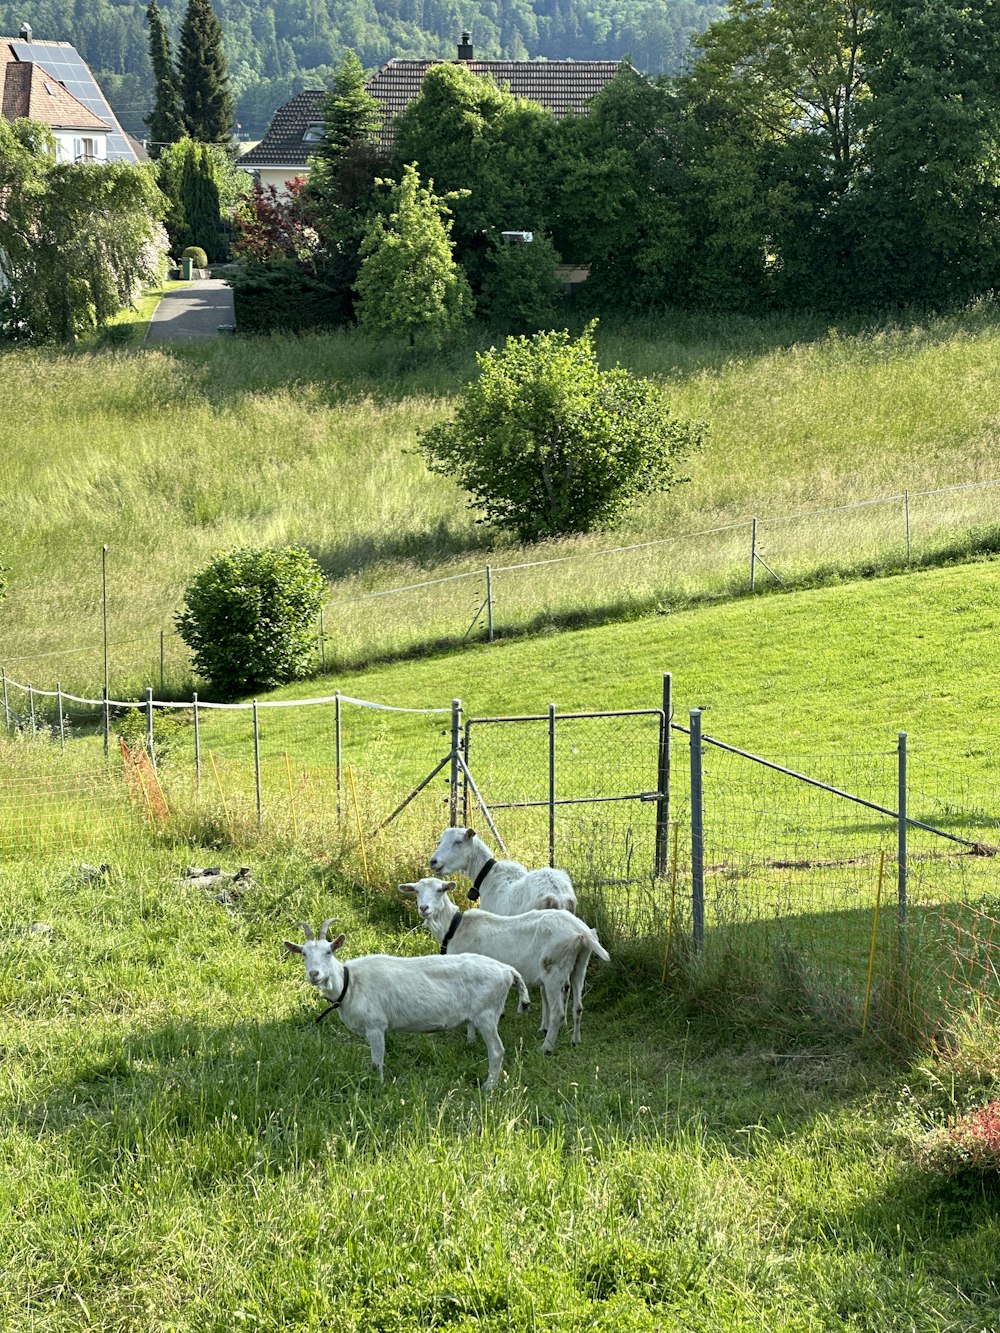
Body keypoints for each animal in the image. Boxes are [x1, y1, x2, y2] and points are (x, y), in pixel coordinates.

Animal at [284, 922, 533, 1087]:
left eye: (328, 951)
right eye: (303, 954)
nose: (314, 974)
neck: (350, 983)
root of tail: (506, 970)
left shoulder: (375, 1026)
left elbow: (377, 1062)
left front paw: (379, 1087)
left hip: (487, 1014)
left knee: (497, 1051)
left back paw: (488, 1087)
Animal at [400, 879, 610, 1055]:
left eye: (440, 890)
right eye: (416, 891)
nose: (424, 908)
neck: (454, 927)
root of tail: (582, 932)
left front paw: (470, 1040)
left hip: (554, 969)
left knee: (558, 1013)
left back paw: (546, 1048)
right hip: (579, 964)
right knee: (578, 1006)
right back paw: (575, 1041)